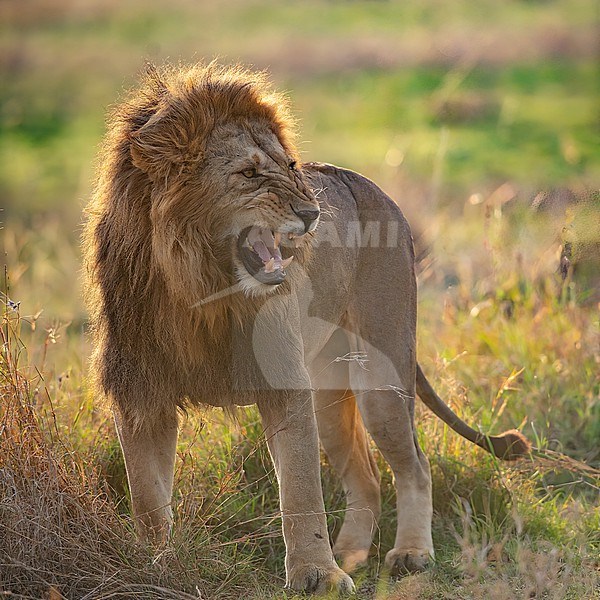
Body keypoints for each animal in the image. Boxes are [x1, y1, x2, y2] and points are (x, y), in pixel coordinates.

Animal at [82, 64, 528, 596]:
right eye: (249, 174)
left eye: (289, 165)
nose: (312, 213)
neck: (199, 291)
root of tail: (376, 190)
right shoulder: (140, 395)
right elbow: (148, 498)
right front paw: (155, 564)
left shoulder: (285, 386)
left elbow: (299, 488)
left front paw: (318, 575)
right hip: (329, 394)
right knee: (367, 478)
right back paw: (351, 554)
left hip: (381, 379)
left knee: (413, 467)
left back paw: (411, 555)